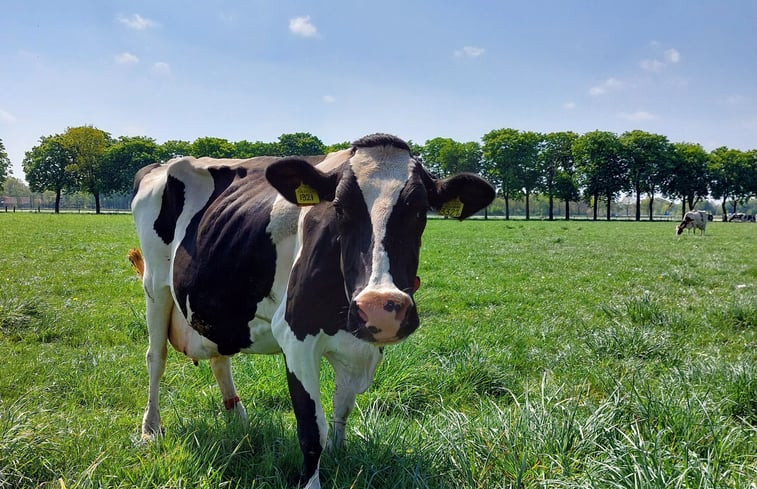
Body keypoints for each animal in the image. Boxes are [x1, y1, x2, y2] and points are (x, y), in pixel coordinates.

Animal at [130, 133, 496, 488]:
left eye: (420, 212)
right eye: (340, 209)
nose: (380, 307)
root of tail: (162, 164)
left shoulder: (360, 343)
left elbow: (341, 410)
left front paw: (338, 455)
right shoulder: (296, 337)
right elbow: (311, 426)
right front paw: (313, 479)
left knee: (220, 356)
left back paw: (238, 420)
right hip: (155, 286)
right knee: (155, 358)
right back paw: (151, 429)